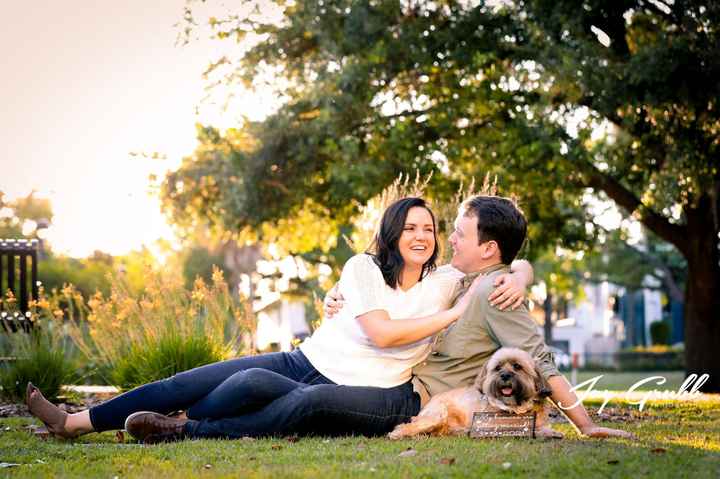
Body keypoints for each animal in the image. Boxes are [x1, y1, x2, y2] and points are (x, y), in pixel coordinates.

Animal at [388, 346, 564, 440]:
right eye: (498, 368)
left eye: (517, 366)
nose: (505, 376)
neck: (515, 408)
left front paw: (550, 432)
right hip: (437, 415)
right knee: (409, 425)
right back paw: (398, 433)